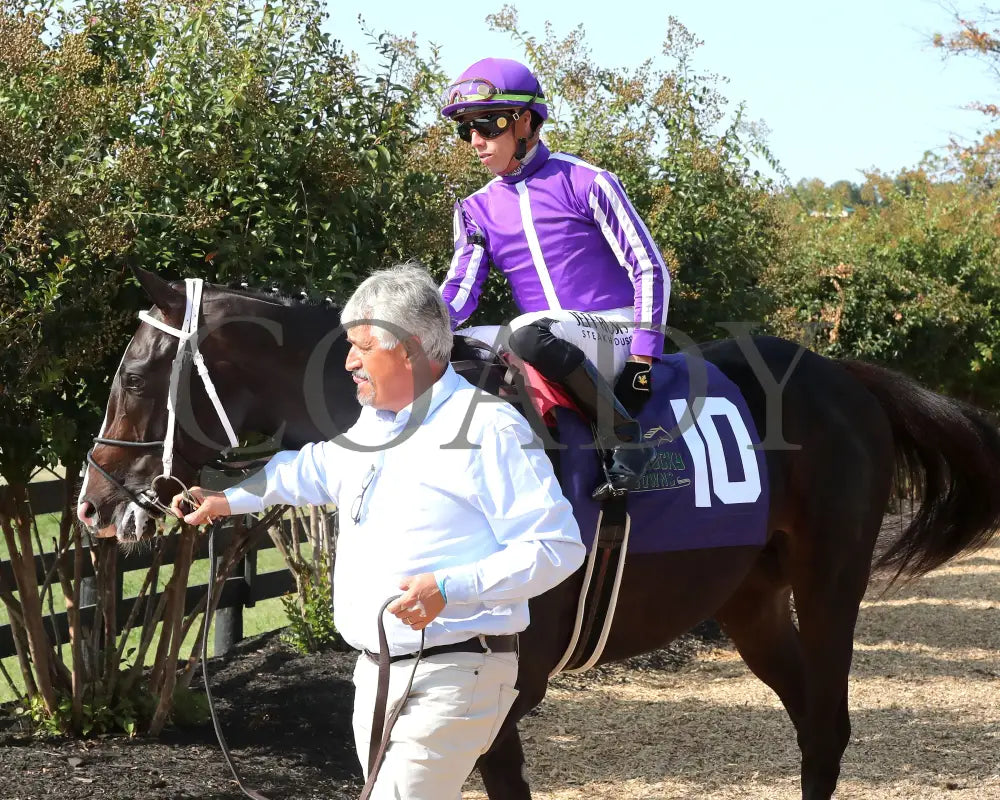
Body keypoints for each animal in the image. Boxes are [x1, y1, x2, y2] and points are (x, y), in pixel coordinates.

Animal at [80, 266, 1000, 796]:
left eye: (133, 377)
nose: (91, 503)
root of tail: (844, 376)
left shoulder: (511, 680)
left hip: (831, 581)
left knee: (831, 725)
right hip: (752, 601)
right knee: (811, 722)